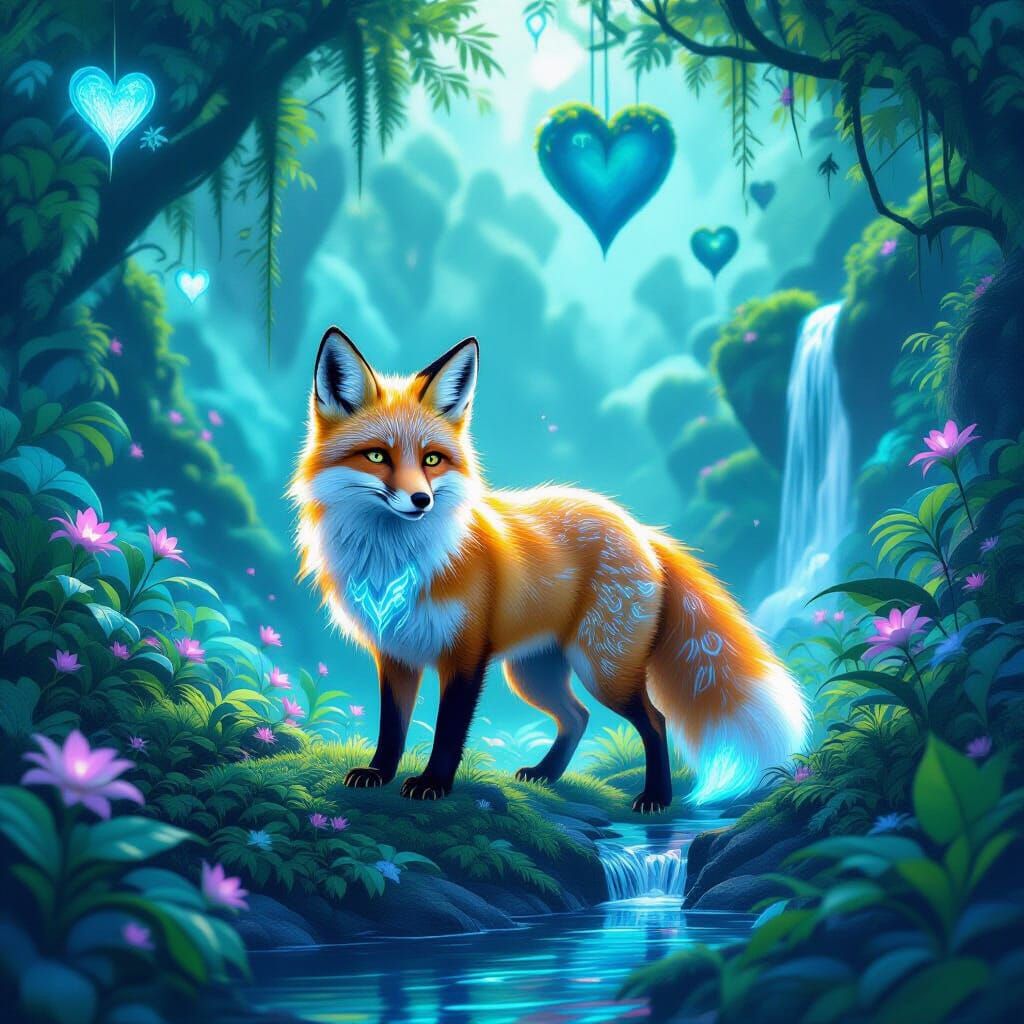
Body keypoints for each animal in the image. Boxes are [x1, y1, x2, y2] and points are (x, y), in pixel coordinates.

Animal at [290, 327, 809, 811]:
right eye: (377, 456)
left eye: (432, 459)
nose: (422, 500)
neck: (394, 563)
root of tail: (639, 528)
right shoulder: (395, 654)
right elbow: (392, 727)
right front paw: (379, 773)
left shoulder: (465, 656)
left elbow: (448, 731)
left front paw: (434, 784)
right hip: (533, 672)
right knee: (577, 717)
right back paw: (547, 774)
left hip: (602, 669)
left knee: (654, 719)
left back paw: (656, 797)